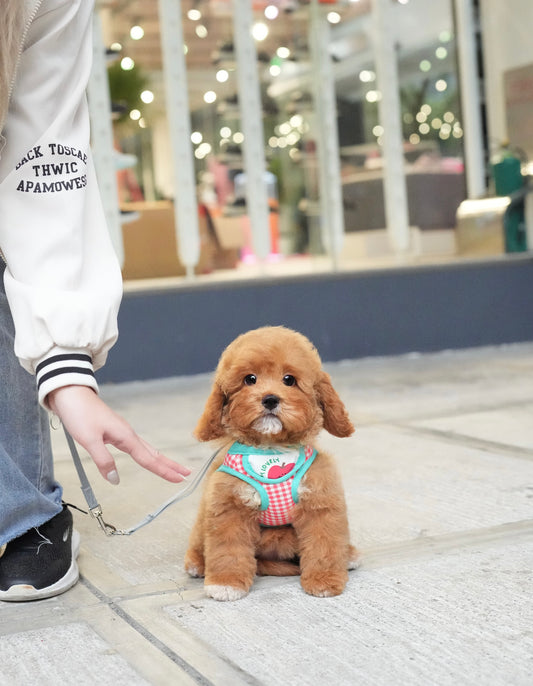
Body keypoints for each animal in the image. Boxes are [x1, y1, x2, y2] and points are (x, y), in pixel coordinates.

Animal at [184, 328, 358, 600]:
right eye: (250, 379)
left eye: (289, 380)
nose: (270, 399)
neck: (271, 449)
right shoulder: (229, 509)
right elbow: (227, 550)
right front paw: (226, 583)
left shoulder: (320, 503)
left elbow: (325, 545)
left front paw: (324, 579)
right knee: (198, 543)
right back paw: (197, 564)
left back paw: (348, 554)